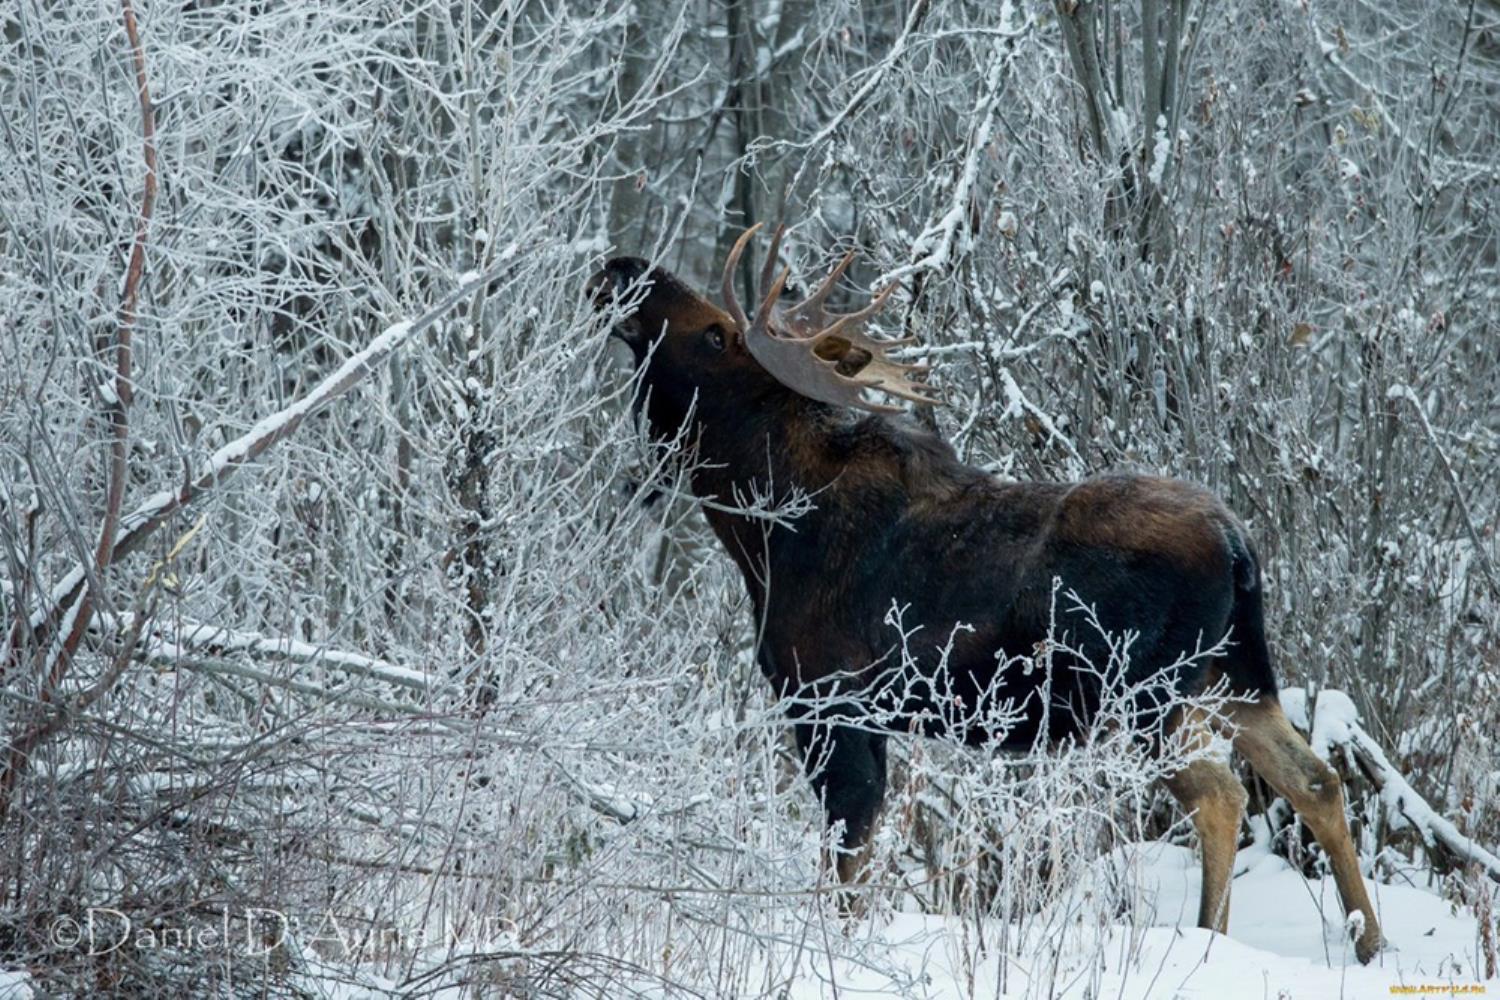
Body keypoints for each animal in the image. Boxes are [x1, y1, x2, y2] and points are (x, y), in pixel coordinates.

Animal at [585, 224, 1380, 959]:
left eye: (716, 333)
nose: (621, 266)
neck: (763, 531)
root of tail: (1238, 545)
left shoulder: (828, 700)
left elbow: (846, 860)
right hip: (1237, 676)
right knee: (1315, 779)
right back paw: (1368, 941)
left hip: (1144, 694)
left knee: (1222, 793)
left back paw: (1209, 937)